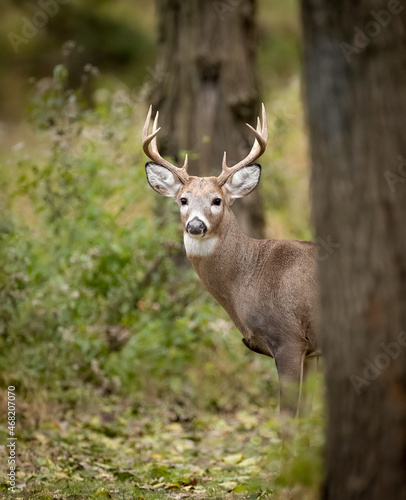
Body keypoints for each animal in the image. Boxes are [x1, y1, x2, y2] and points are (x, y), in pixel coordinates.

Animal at [143, 103, 320, 416]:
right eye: (183, 200)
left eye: (217, 200)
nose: (196, 225)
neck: (249, 277)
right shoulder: (310, 351)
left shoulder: (289, 338)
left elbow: (288, 417)